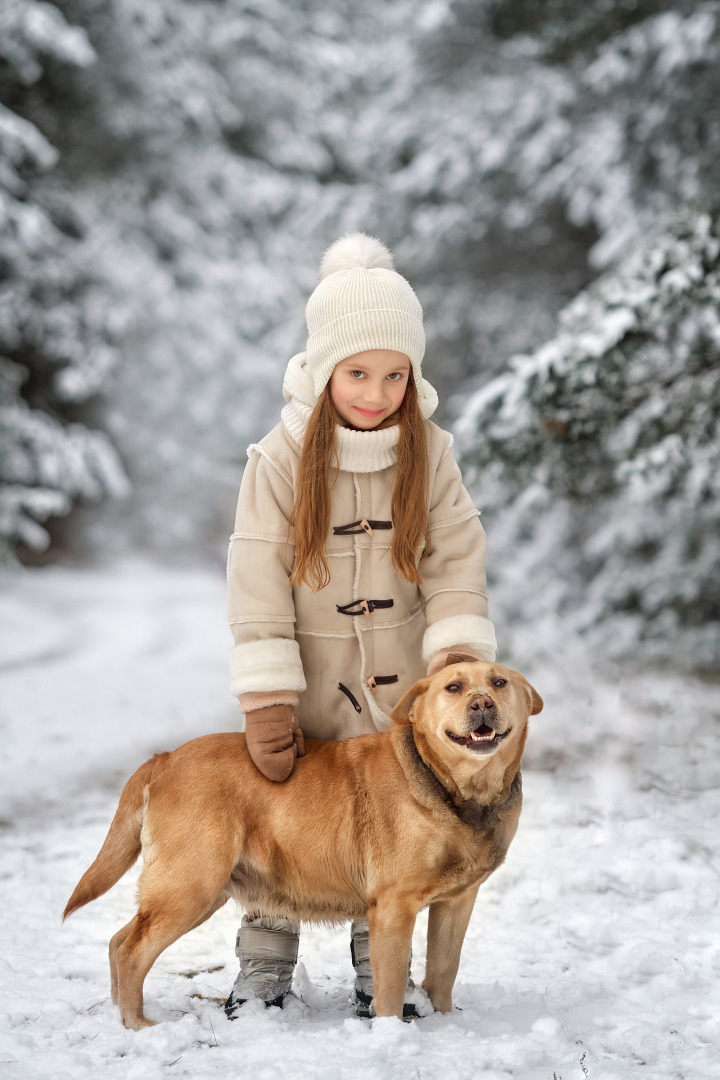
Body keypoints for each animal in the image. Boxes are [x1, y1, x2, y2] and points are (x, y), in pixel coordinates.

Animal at [64, 656, 544, 1028]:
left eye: (499, 682)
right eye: (454, 687)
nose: (482, 703)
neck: (452, 788)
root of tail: (162, 758)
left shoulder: (457, 902)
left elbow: (443, 970)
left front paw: (444, 1025)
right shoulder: (394, 906)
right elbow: (389, 988)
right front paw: (392, 1035)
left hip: (195, 891)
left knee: (117, 941)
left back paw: (118, 1014)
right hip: (191, 886)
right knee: (131, 950)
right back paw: (138, 1025)